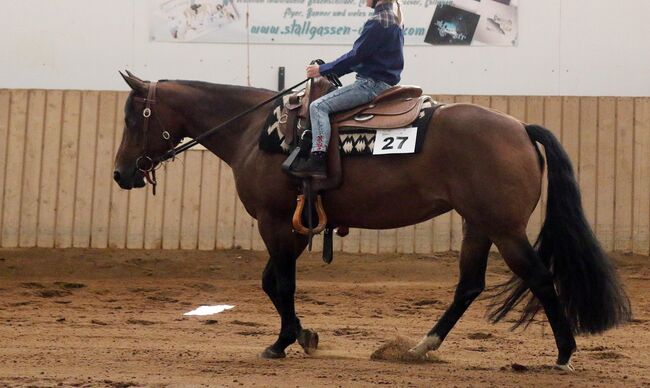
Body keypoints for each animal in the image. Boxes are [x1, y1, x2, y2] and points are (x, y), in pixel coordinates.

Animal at [111, 72, 628, 370]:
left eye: (135, 116)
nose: (120, 173)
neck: (255, 132)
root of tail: (520, 127)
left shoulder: (275, 222)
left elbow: (282, 284)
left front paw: (283, 342)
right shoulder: (296, 226)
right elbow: (271, 283)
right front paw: (304, 335)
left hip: (504, 229)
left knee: (540, 278)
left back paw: (564, 354)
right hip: (478, 225)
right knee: (469, 286)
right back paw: (420, 348)